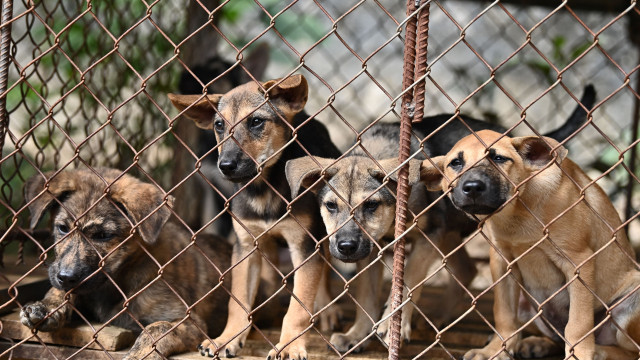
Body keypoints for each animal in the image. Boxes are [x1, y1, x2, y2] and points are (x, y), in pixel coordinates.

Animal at [21, 168, 234, 360]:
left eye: (103, 235)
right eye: (63, 228)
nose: (65, 277)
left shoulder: (191, 322)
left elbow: (157, 328)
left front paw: (139, 354)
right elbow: (64, 293)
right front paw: (46, 306)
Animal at [168, 74, 342, 360]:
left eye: (256, 121)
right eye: (219, 125)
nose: (225, 166)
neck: (263, 189)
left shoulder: (304, 245)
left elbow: (299, 305)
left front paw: (290, 345)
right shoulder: (246, 245)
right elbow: (237, 302)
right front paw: (227, 339)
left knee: (324, 269)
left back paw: (327, 308)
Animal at [420, 130, 640, 360]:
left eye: (499, 158)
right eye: (455, 163)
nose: (472, 187)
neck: (518, 210)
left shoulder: (579, 262)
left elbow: (578, 323)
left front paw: (578, 355)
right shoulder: (502, 263)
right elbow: (504, 314)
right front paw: (495, 350)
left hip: (632, 300)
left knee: (629, 351)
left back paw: (599, 351)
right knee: (553, 336)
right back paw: (536, 343)